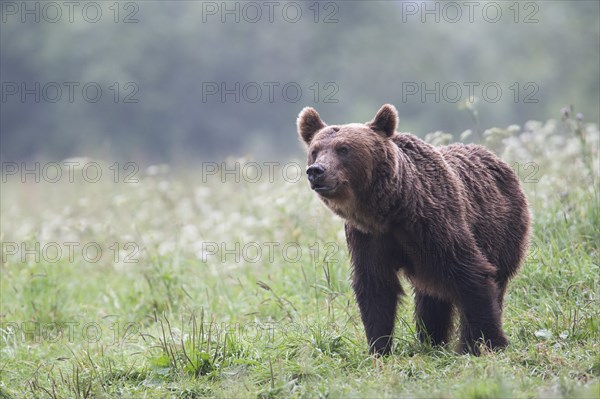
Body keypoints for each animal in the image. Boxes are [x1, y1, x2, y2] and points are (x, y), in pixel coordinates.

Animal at [296, 104, 528, 356]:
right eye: (315, 150)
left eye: (343, 148)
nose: (316, 171)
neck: (390, 209)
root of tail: (495, 158)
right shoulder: (367, 238)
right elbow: (376, 288)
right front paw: (379, 347)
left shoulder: (434, 224)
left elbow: (471, 274)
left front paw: (488, 342)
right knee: (431, 298)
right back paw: (431, 340)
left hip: (503, 232)